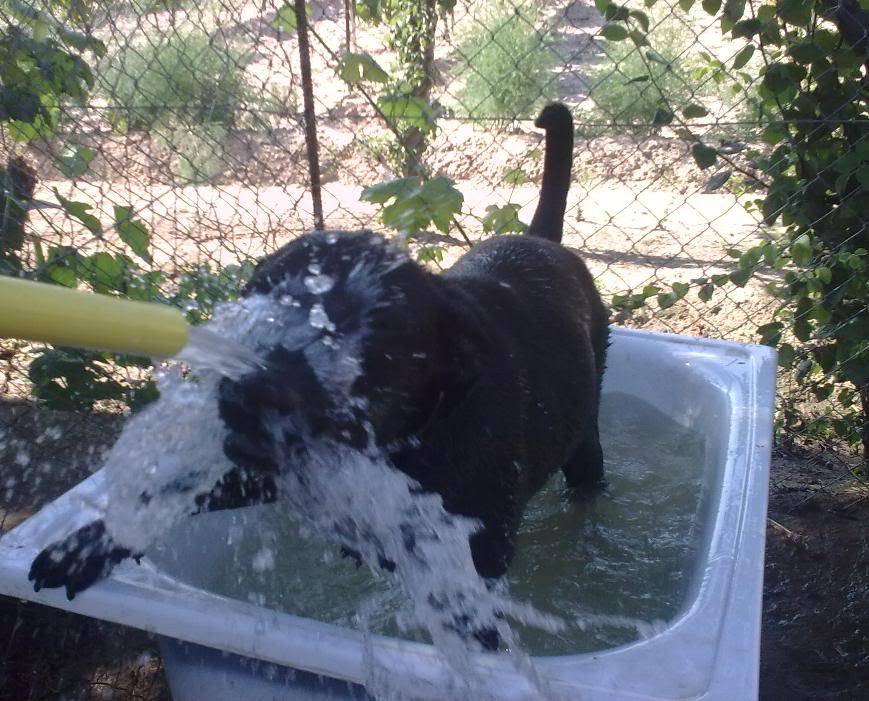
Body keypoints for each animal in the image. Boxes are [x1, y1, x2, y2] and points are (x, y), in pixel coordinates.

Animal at [28, 101, 612, 604]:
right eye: (257, 295)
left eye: (370, 332)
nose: (254, 388)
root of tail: (544, 242)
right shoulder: (266, 471)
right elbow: (174, 495)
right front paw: (81, 550)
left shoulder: (481, 548)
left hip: (585, 437)